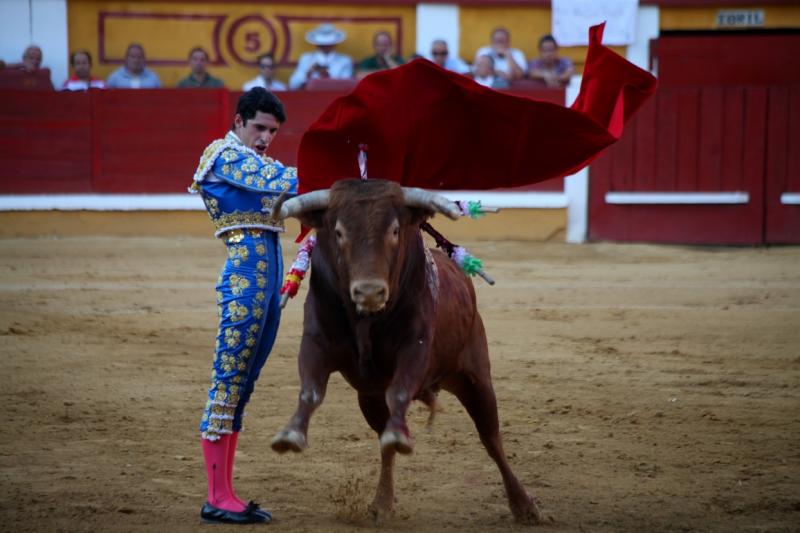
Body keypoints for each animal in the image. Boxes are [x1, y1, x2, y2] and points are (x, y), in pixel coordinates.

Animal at [272, 181, 540, 520]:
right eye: (339, 232)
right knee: (384, 441)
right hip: (369, 397)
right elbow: (310, 392)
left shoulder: (416, 346)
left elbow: (399, 390)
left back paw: (524, 505)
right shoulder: (315, 342)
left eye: (395, 231)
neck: (365, 320)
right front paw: (290, 434)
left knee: (490, 437)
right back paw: (382, 502)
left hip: (476, 378)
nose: (369, 292)